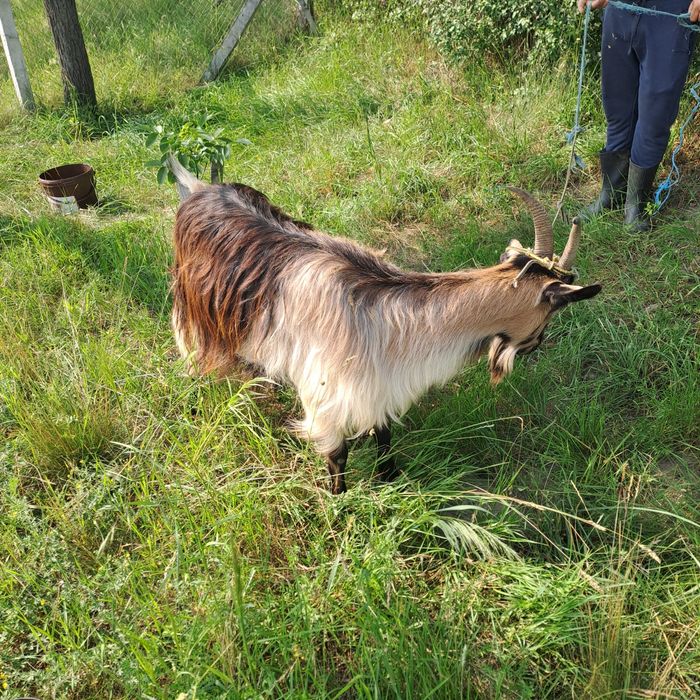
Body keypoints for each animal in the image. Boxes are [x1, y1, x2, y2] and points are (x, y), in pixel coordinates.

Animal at [168, 157, 601, 494]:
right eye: (550, 314)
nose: (539, 343)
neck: (383, 313)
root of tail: (199, 189)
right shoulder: (327, 397)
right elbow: (337, 456)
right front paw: (339, 504)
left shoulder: (379, 385)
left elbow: (385, 436)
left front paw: (390, 478)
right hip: (190, 303)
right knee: (190, 347)